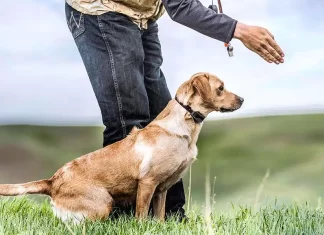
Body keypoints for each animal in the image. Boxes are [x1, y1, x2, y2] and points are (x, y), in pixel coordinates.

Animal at [0, 72, 243, 223]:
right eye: (220, 88)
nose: (242, 99)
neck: (185, 123)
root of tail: (52, 181)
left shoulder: (162, 189)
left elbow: (160, 215)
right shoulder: (147, 183)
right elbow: (142, 215)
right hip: (103, 202)